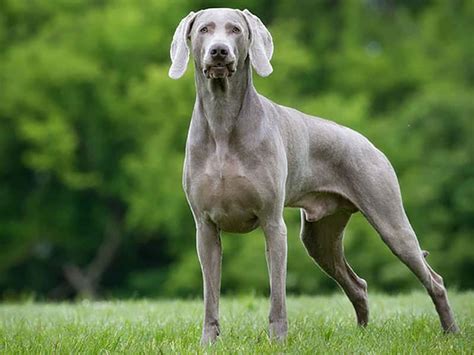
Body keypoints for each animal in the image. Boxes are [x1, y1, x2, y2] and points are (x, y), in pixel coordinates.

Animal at [168, 7, 460, 344]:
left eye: (235, 30)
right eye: (204, 29)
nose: (219, 51)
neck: (222, 122)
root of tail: (369, 143)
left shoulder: (272, 223)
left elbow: (278, 294)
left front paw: (278, 341)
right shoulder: (205, 227)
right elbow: (210, 295)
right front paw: (208, 342)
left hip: (390, 221)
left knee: (433, 279)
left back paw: (451, 331)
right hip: (319, 237)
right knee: (357, 284)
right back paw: (362, 334)